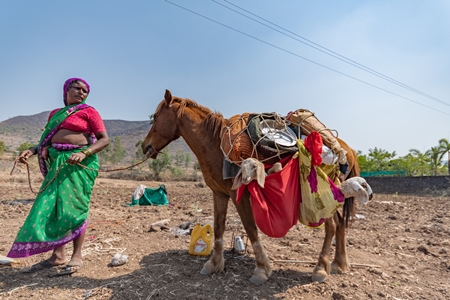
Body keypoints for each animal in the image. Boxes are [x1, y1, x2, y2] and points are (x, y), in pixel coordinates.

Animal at [143, 89, 362, 284]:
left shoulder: (238, 195)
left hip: (323, 193)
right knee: (340, 223)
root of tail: (346, 149)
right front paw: (213, 264)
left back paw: (320, 269)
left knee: (332, 226)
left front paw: (262, 269)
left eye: (156, 117)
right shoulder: (219, 194)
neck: (216, 144)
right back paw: (338, 263)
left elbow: (250, 228)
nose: (145, 146)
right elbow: (219, 227)